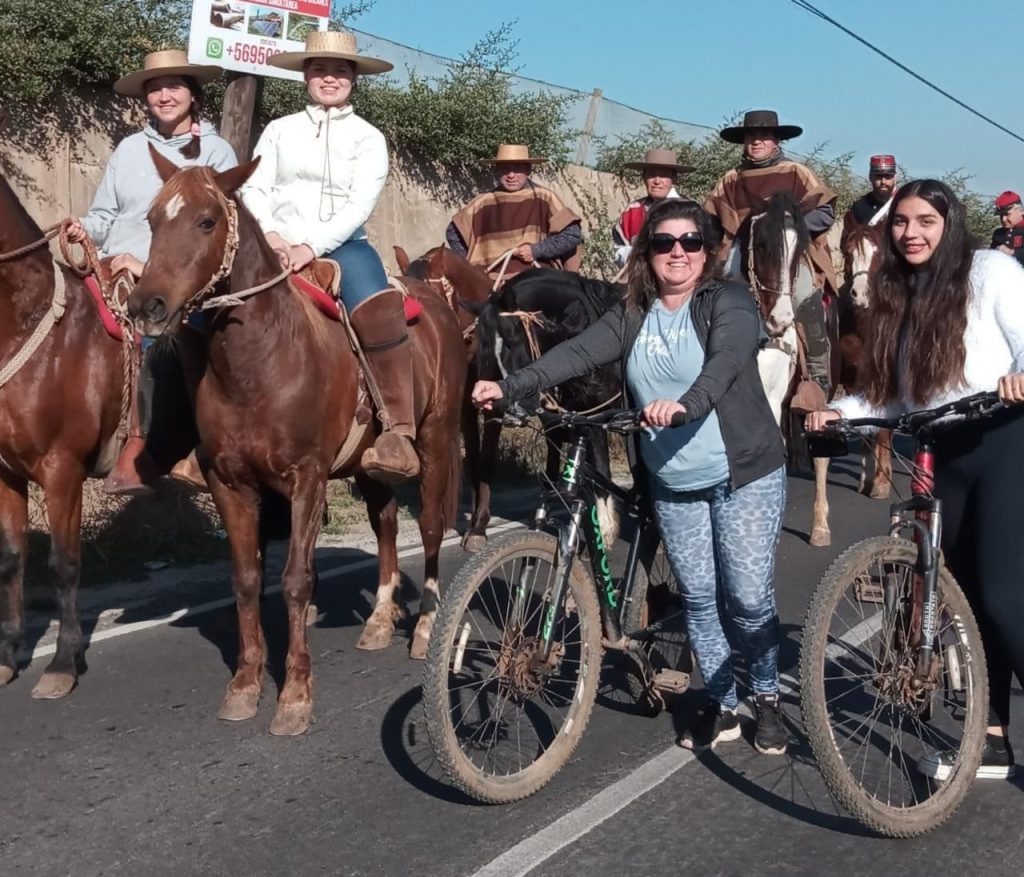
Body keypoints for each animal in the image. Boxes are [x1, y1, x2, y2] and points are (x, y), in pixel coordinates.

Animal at [128, 153, 468, 737]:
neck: (260, 360)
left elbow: (295, 581)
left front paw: (294, 696)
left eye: (206, 221)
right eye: (152, 219)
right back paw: (379, 620)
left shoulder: (307, 478)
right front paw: (245, 686)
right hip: (370, 467)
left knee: (427, 527)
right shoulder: (231, 483)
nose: (146, 305)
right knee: (384, 525)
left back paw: (424, 628)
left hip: (436, 440)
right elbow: (246, 580)